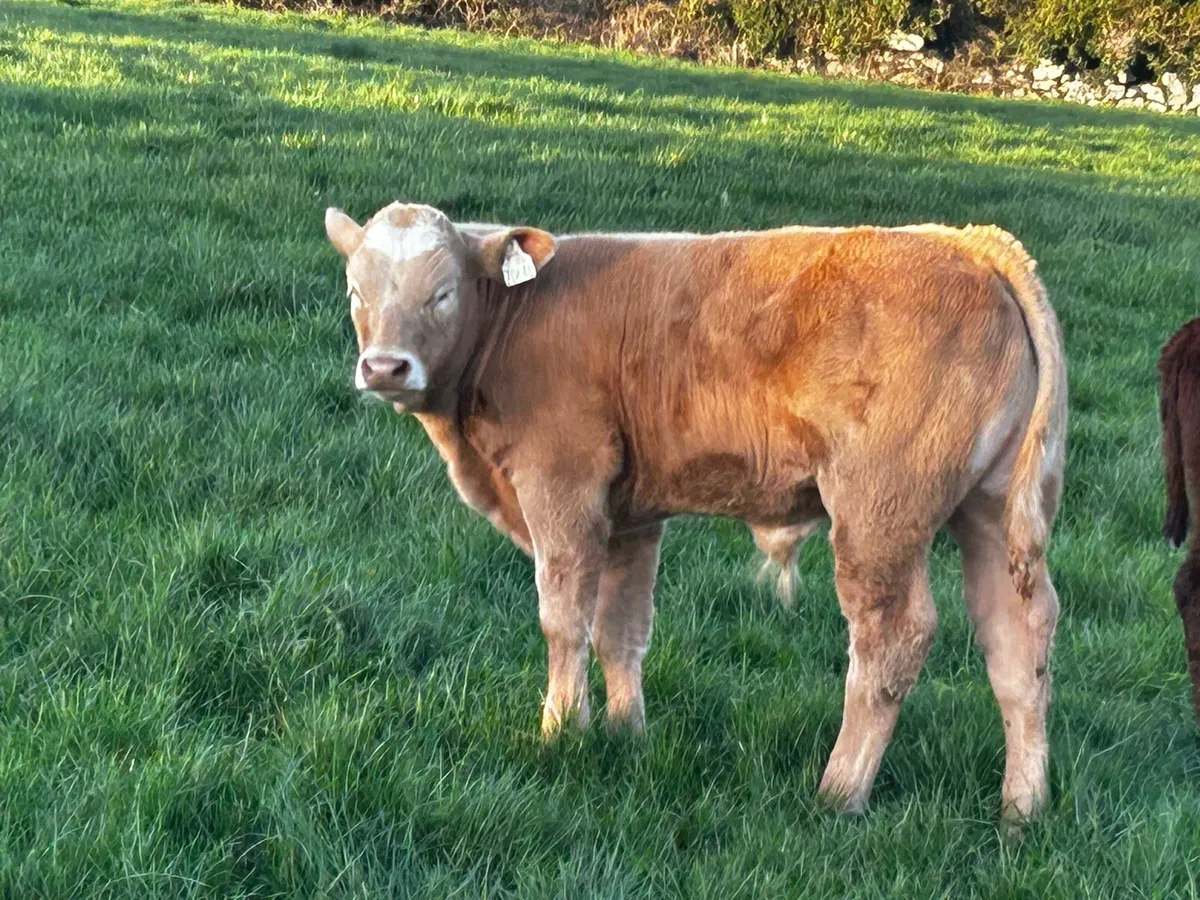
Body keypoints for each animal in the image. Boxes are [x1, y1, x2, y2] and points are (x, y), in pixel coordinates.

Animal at [324, 201, 1067, 822]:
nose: (384, 367)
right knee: (1017, 639)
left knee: (892, 640)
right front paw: (624, 735)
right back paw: (1021, 810)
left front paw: (561, 731)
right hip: (989, 511)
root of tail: (965, 241)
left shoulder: (562, 486)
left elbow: (564, 622)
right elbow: (621, 629)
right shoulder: (631, 514)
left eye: (442, 292)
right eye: (357, 291)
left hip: (879, 513)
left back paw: (839, 792)